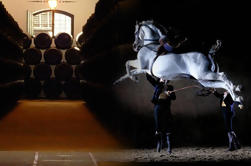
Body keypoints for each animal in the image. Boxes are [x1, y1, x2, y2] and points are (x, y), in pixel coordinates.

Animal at [115, 20, 243, 105]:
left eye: (135, 32)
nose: (135, 46)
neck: (150, 45)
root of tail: (208, 53)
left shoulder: (142, 65)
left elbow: (127, 63)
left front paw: (134, 79)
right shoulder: (144, 69)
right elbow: (130, 70)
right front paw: (120, 80)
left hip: (205, 74)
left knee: (223, 76)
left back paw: (236, 93)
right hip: (205, 80)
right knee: (223, 84)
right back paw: (236, 93)